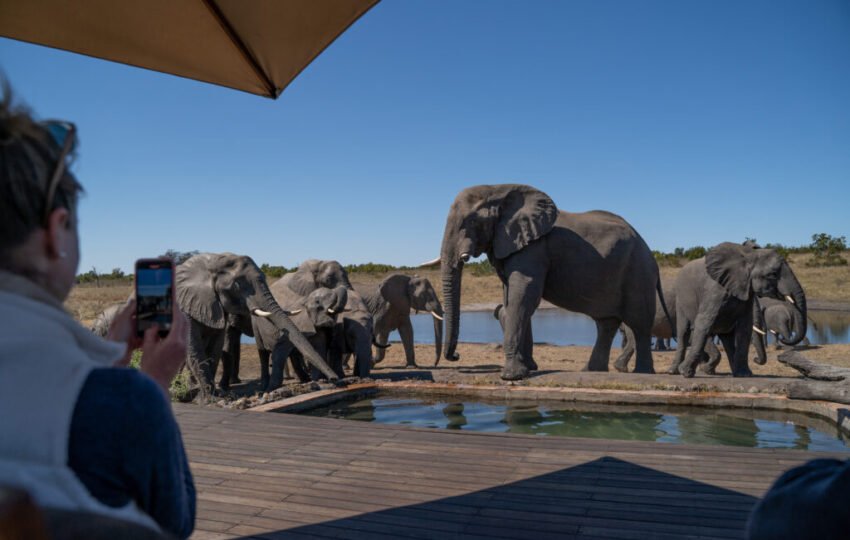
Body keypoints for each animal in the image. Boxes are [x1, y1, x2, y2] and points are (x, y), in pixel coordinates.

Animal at [175, 253, 338, 400]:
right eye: (237, 285)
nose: (335, 380)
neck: (211, 262)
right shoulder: (186, 306)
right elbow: (196, 347)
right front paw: (210, 397)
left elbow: (215, 348)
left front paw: (213, 394)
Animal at [427, 184, 666, 380]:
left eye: (471, 221)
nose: (456, 356)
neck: (498, 189)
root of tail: (651, 255)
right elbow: (512, 299)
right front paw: (527, 368)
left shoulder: (534, 249)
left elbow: (523, 297)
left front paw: (512, 376)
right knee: (605, 323)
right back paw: (592, 371)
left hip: (638, 272)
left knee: (639, 323)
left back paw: (643, 373)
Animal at [668, 242, 807, 378]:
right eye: (772, 274)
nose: (756, 359)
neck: (748, 256)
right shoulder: (715, 291)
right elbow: (704, 324)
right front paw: (686, 372)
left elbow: (744, 328)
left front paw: (744, 375)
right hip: (680, 301)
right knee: (683, 332)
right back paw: (673, 371)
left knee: (727, 340)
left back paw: (732, 372)